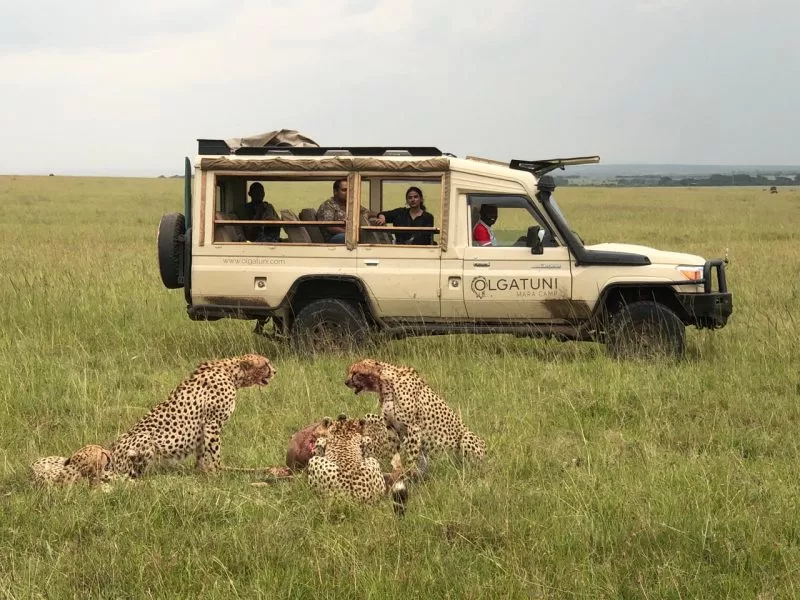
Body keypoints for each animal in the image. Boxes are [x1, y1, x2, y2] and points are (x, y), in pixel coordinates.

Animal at [109, 354, 276, 479]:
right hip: (144, 439)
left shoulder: (204, 428)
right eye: (265, 364)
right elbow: (215, 452)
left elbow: (203, 452)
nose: (275, 371)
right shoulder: (212, 423)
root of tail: (111, 454)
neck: (231, 373)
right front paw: (218, 474)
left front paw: (202, 472)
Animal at [345, 358, 486, 479]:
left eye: (355, 373)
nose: (345, 382)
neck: (385, 386)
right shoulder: (390, 427)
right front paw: (395, 471)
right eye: (351, 371)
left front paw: (408, 472)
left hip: (467, 437)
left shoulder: (413, 428)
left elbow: (411, 455)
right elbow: (394, 453)